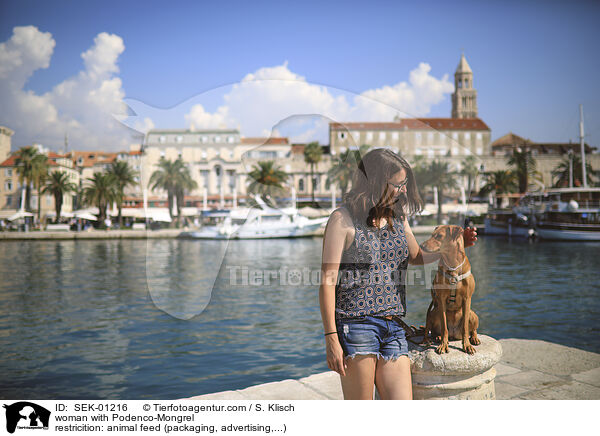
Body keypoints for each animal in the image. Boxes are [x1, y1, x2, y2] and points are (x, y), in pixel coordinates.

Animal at [420, 225, 480, 354]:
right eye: (432, 235)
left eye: (439, 236)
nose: (421, 245)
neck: (453, 265)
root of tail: (454, 334)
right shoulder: (441, 300)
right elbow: (444, 327)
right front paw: (443, 344)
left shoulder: (467, 299)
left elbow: (465, 328)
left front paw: (467, 345)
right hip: (433, 312)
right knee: (434, 330)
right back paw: (436, 337)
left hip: (473, 314)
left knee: (472, 329)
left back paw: (474, 338)